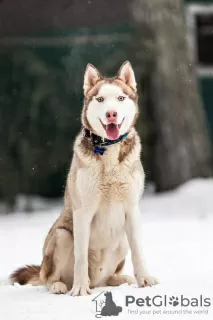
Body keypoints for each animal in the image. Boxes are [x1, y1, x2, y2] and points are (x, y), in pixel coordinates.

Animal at [10, 60, 160, 296]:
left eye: (120, 98)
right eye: (100, 99)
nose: (111, 114)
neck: (108, 150)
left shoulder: (132, 208)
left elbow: (139, 251)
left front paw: (144, 280)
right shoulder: (83, 211)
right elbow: (80, 256)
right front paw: (80, 289)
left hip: (121, 240)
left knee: (107, 278)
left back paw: (120, 278)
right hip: (62, 236)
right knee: (48, 278)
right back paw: (61, 286)